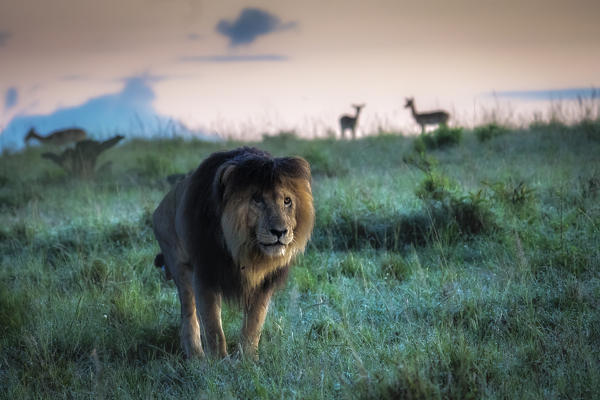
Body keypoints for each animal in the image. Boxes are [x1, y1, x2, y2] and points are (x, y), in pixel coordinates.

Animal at [152, 147, 316, 360]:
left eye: (287, 201)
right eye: (257, 199)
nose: (280, 232)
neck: (245, 250)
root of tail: (158, 209)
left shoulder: (264, 283)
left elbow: (254, 322)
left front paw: (248, 359)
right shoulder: (205, 272)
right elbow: (213, 325)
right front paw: (218, 361)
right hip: (179, 266)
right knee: (189, 313)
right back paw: (196, 356)